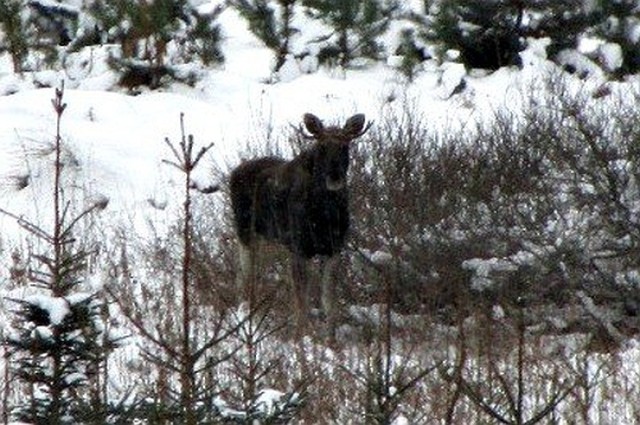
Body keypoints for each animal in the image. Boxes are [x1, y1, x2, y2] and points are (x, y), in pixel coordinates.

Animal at [229, 112, 370, 324]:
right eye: (322, 147)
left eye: (345, 146)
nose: (334, 176)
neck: (326, 213)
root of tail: (233, 173)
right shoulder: (299, 247)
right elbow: (301, 305)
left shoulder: (334, 248)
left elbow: (329, 303)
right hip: (245, 230)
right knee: (245, 275)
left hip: (265, 238)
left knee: (252, 273)